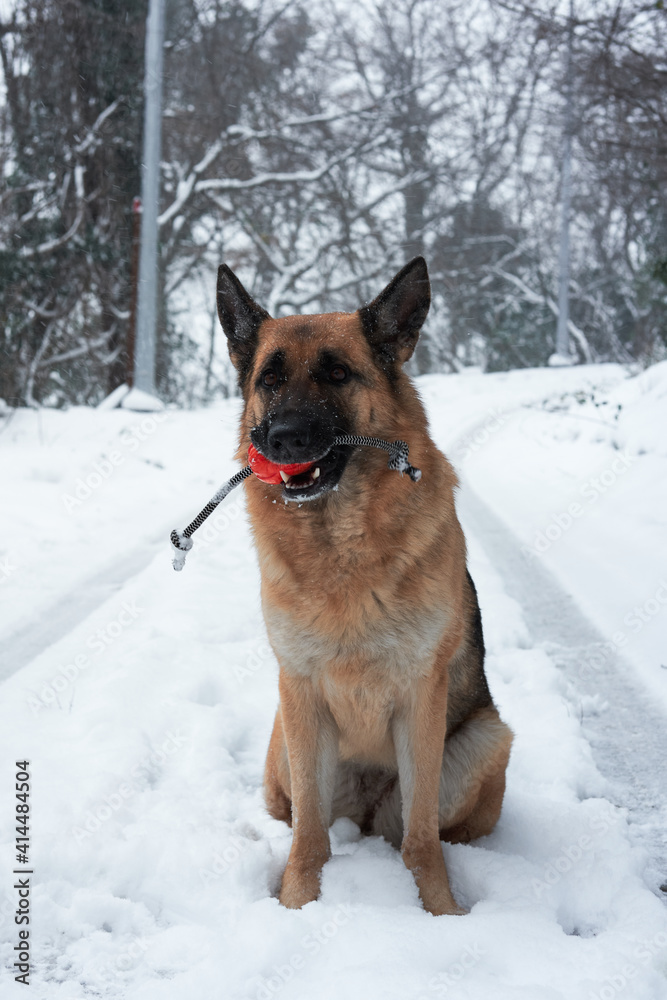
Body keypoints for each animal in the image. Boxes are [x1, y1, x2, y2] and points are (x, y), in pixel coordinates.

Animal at [217, 256, 516, 916]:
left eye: (337, 373)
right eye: (270, 378)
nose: (280, 437)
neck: (340, 546)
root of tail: (367, 807)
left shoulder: (421, 696)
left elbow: (422, 839)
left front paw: (441, 911)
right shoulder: (300, 692)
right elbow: (308, 836)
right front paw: (297, 905)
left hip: (487, 739)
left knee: (422, 827)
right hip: (285, 748)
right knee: (302, 818)